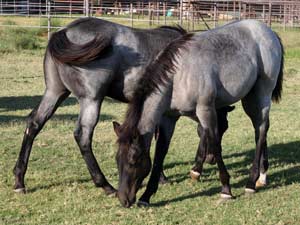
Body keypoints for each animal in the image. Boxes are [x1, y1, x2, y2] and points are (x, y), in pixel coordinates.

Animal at [113, 19, 284, 207]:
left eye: (133, 159)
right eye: (117, 160)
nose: (124, 199)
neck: (178, 75)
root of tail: (267, 30)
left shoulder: (205, 109)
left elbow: (214, 143)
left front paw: (226, 189)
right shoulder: (168, 118)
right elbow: (160, 153)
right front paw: (146, 196)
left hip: (261, 94)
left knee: (261, 131)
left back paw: (251, 182)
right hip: (250, 97)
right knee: (261, 129)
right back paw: (261, 176)